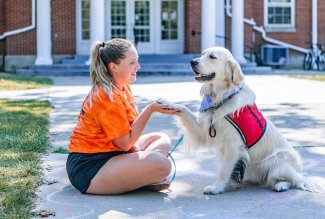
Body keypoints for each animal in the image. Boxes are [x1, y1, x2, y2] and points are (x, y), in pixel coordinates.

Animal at [159, 47, 324, 194]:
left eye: (212, 57)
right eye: (202, 54)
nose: (192, 61)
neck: (221, 97)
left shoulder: (233, 146)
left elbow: (224, 170)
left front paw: (217, 188)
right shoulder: (203, 130)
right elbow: (183, 108)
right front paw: (166, 103)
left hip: (276, 160)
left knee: (297, 180)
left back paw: (281, 185)